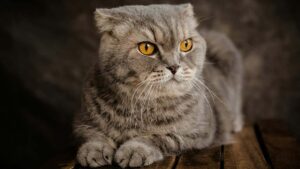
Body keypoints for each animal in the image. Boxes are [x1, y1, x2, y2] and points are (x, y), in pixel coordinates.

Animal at [73, 3, 244, 168]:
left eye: (186, 44)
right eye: (146, 48)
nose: (174, 66)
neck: (140, 106)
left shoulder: (199, 132)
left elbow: (160, 137)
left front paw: (135, 149)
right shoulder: (81, 123)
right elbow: (92, 135)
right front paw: (93, 150)